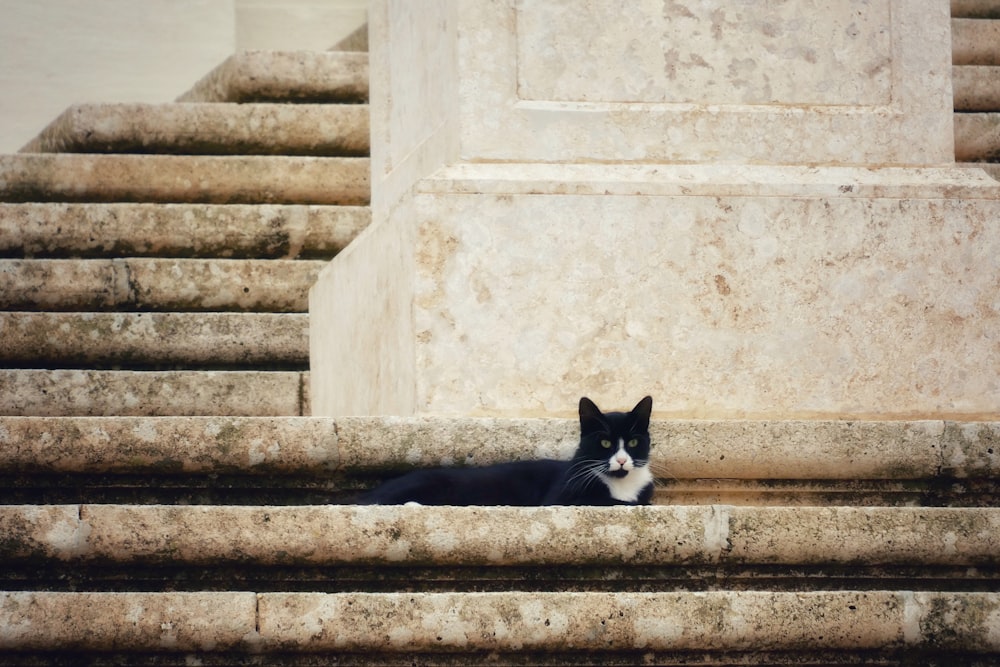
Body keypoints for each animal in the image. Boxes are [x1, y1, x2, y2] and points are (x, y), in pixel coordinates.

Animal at [360, 396, 656, 506]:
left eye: (633, 443)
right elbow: (608, 502)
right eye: (605, 443)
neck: (622, 485)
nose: (621, 460)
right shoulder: (560, 497)